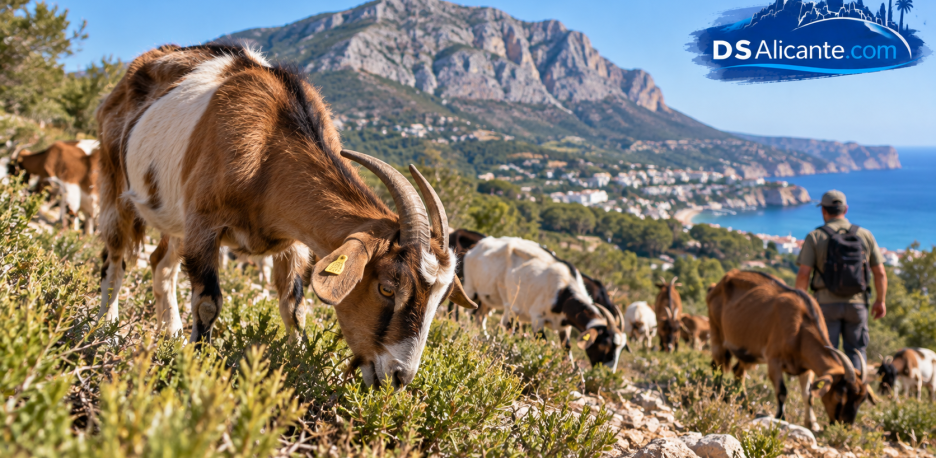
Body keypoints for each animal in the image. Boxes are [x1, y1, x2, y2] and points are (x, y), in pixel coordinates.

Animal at [94, 44, 475, 389]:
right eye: (386, 288)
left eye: (440, 300)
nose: (399, 378)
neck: (267, 148)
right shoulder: (203, 224)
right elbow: (208, 303)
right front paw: (198, 365)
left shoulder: (292, 242)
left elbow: (294, 308)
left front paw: (299, 364)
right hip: (115, 182)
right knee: (115, 259)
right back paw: (107, 330)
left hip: (175, 220)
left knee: (161, 264)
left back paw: (170, 331)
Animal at [462, 236, 627, 370]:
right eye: (604, 344)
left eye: (620, 349)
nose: (607, 371)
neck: (562, 292)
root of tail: (476, 247)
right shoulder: (537, 318)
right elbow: (543, 343)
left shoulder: (564, 325)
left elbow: (567, 347)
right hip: (470, 289)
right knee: (468, 313)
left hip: (489, 299)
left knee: (480, 317)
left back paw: (484, 336)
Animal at [708, 270, 876, 431]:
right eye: (840, 394)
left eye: (862, 399)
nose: (845, 426)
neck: (800, 327)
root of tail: (716, 285)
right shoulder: (774, 360)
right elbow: (782, 391)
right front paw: (780, 417)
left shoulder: (806, 367)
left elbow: (808, 395)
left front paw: (812, 423)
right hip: (717, 333)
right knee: (718, 367)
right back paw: (715, 396)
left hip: (747, 352)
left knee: (738, 373)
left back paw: (746, 406)